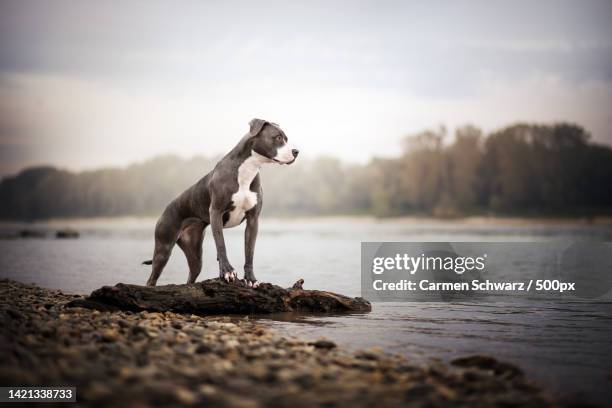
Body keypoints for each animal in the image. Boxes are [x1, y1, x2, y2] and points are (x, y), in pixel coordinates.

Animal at [142, 119, 298, 288]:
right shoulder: (216, 212)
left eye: (286, 139)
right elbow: (221, 245)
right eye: (278, 138)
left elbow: (249, 251)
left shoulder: (253, 219)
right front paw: (228, 272)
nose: (296, 151)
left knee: (191, 276)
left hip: (194, 253)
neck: (247, 169)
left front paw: (250, 278)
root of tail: (166, 209)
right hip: (163, 248)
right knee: (152, 278)